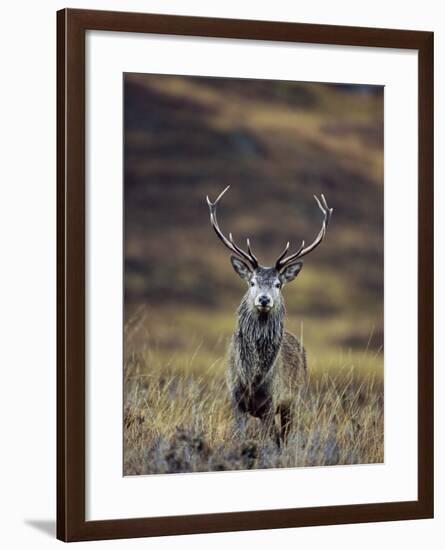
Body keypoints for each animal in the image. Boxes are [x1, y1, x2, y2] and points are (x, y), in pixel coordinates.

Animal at [206, 188, 332, 446]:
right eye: (252, 282)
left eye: (278, 284)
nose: (264, 300)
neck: (253, 378)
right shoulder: (236, 400)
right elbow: (239, 435)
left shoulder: (271, 402)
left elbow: (269, 440)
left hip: (296, 400)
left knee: (285, 435)